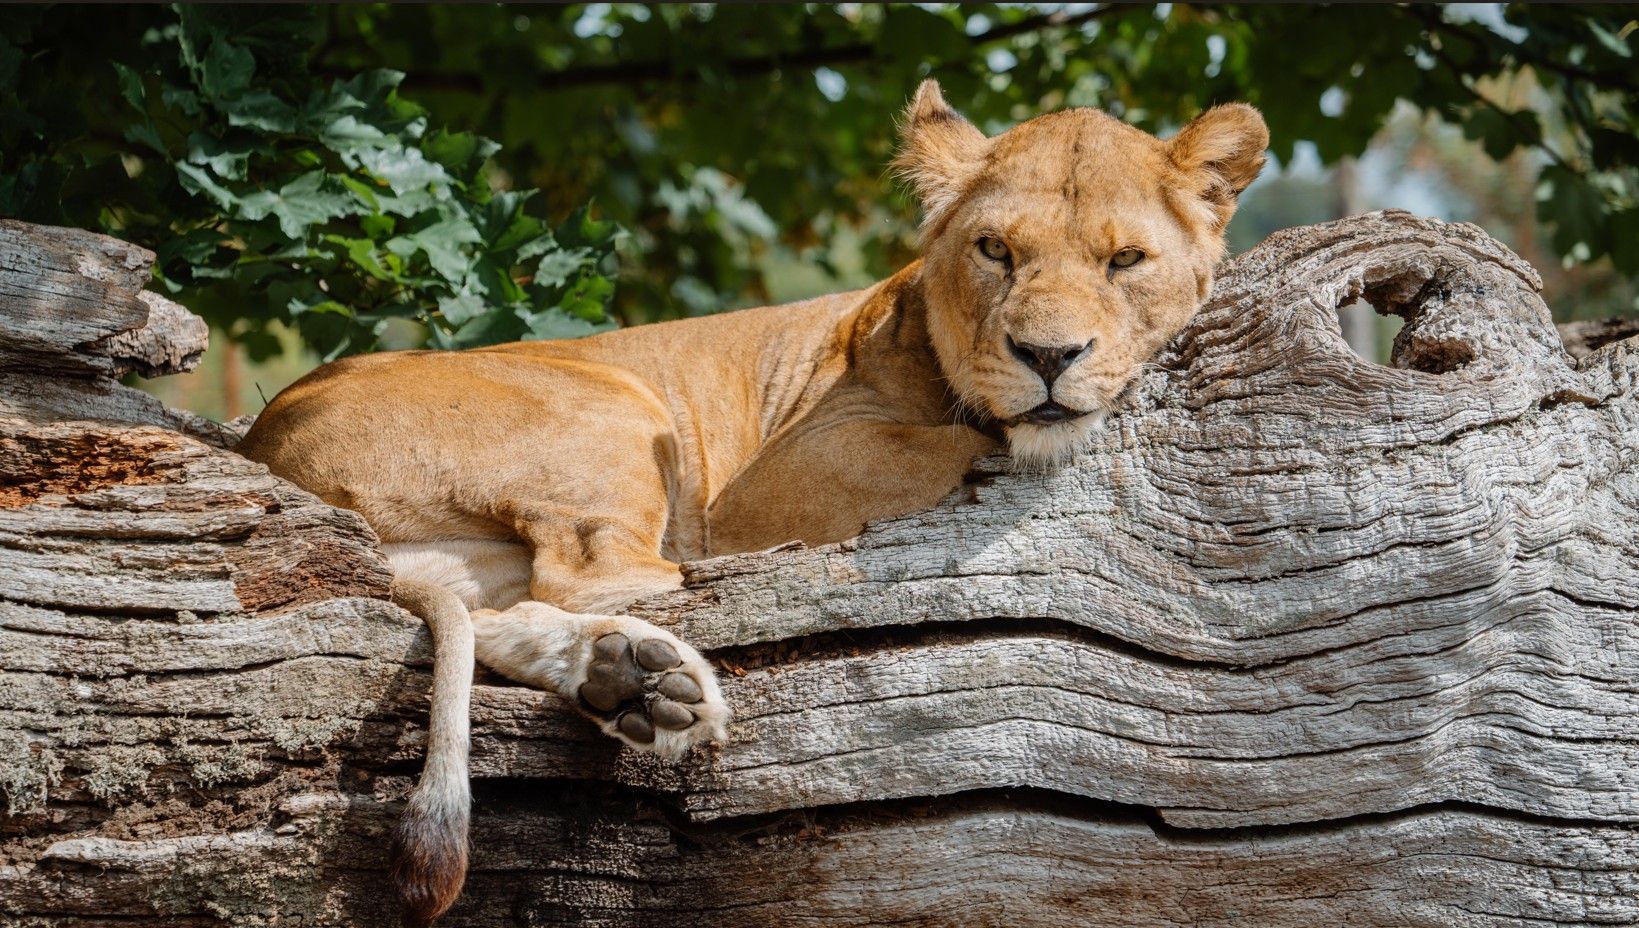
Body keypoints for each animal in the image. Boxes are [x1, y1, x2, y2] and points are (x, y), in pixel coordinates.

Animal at [236, 80, 1266, 925]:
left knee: (508, 611)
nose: (1048, 357)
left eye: (1125, 261)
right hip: (621, 402)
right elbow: (971, 439)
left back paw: (634, 681)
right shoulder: (775, 478)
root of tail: (266, 436)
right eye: (994, 251)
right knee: (603, 572)